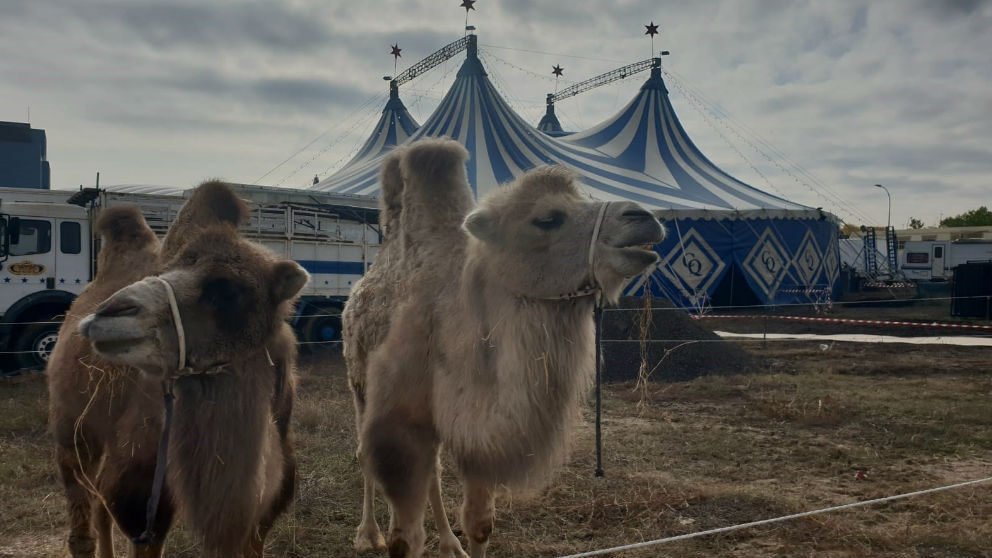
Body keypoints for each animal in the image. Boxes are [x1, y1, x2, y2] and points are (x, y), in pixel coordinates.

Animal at [50, 182, 304, 556]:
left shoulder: (265, 504)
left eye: (228, 291)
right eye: (159, 273)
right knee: (82, 492)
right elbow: (137, 524)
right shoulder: (140, 489)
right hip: (73, 423)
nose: (109, 313)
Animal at [342, 137, 668, 558]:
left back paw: (449, 544)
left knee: (434, 472)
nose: (645, 217)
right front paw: (387, 536)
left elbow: (479, 524)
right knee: (364, 453)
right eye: (548, 218)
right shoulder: (398, 424)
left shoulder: (481, 436)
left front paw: (462, 539)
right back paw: (367, 534)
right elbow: (404, 539)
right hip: (358, 380)